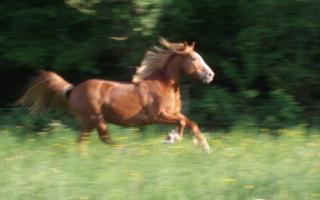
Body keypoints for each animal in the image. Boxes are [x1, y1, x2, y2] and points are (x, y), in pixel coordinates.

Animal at [15, 37, 215, 152]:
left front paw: (205, 148)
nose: (210, 75)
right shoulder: (159, 115)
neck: (163, 85)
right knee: (105, 139)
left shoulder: (173, 113)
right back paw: (126, 150)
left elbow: (190, 123)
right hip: (96, 119)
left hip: (87, 123)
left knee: (81, 142)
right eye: (194, 58)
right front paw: (171, 138)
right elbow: (182, 122)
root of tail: (73, 89)